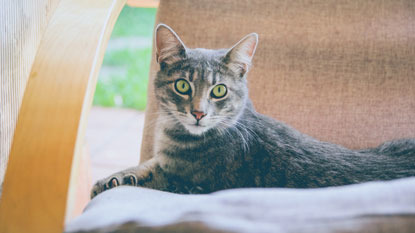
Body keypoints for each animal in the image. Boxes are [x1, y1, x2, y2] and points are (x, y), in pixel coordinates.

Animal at [92, 23, 415, 198]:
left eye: (218, 90)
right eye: (182, 85)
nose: (198, 113)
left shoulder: (193, 185)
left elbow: (161, 176)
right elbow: (145, 167)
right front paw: (115, 178)